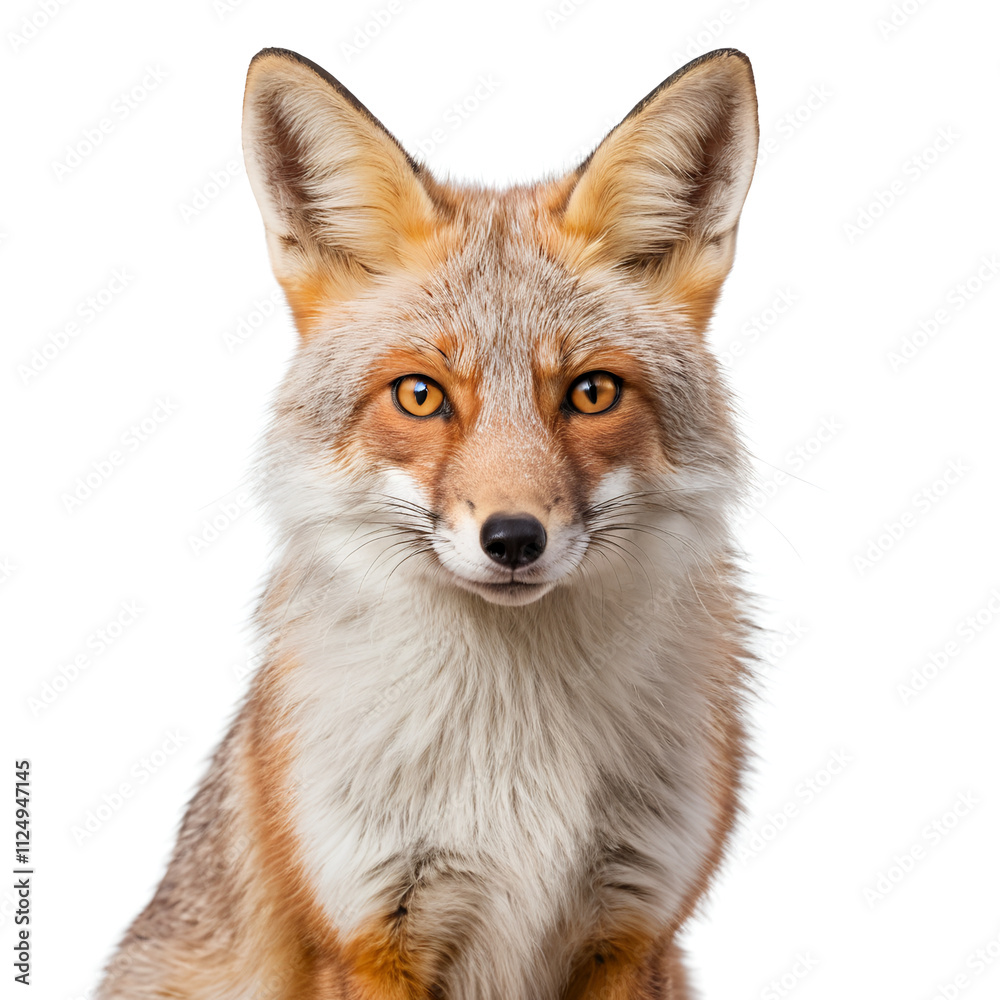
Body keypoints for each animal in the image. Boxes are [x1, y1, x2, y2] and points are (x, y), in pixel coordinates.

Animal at [96, 45, 759, 1000]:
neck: (518, 755)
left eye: (593, 392)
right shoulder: (368, 930)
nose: (514, 538)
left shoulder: (634, 928)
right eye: (420, 395)